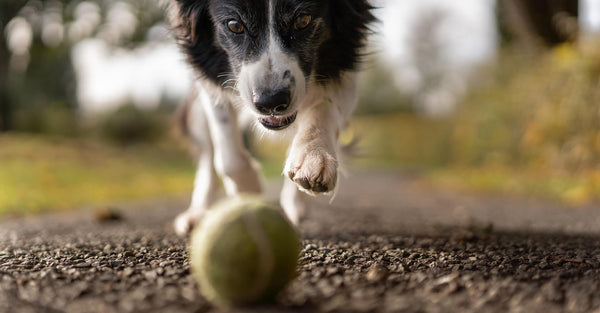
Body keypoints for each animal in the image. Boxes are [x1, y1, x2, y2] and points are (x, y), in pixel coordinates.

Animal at [168, 0, 376, 234]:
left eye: (303, 20)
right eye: (234, 25)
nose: (270, 102)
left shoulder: (347, 54)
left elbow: (324, 105)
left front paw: (313, 158)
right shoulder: (207, 75)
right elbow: (227, 155)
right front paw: (250, 190)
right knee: (207, 155)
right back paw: (197, 214)